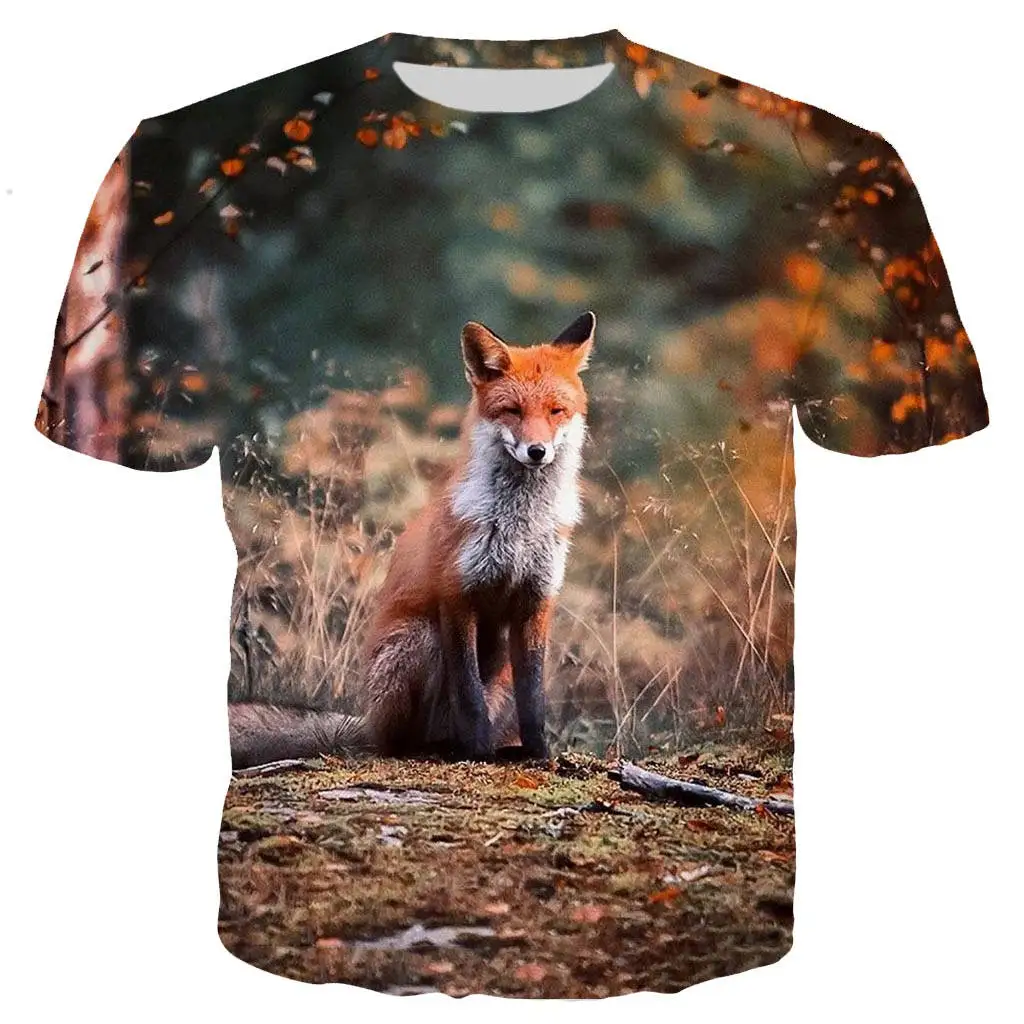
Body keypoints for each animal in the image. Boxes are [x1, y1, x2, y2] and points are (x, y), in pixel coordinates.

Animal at [228, 311, 595, 767]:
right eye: (512, 410)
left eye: (556, 411)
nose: (537, 451)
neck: (518, 525)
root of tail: (368, 719)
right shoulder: (457, 595)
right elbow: (468, 693)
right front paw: (478, 752)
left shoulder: (537, 602)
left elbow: (534, 698)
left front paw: (539, 754)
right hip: (419, 638)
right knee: (399, 743)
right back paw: (445, 748)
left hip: (498, 671)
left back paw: (496, 748)